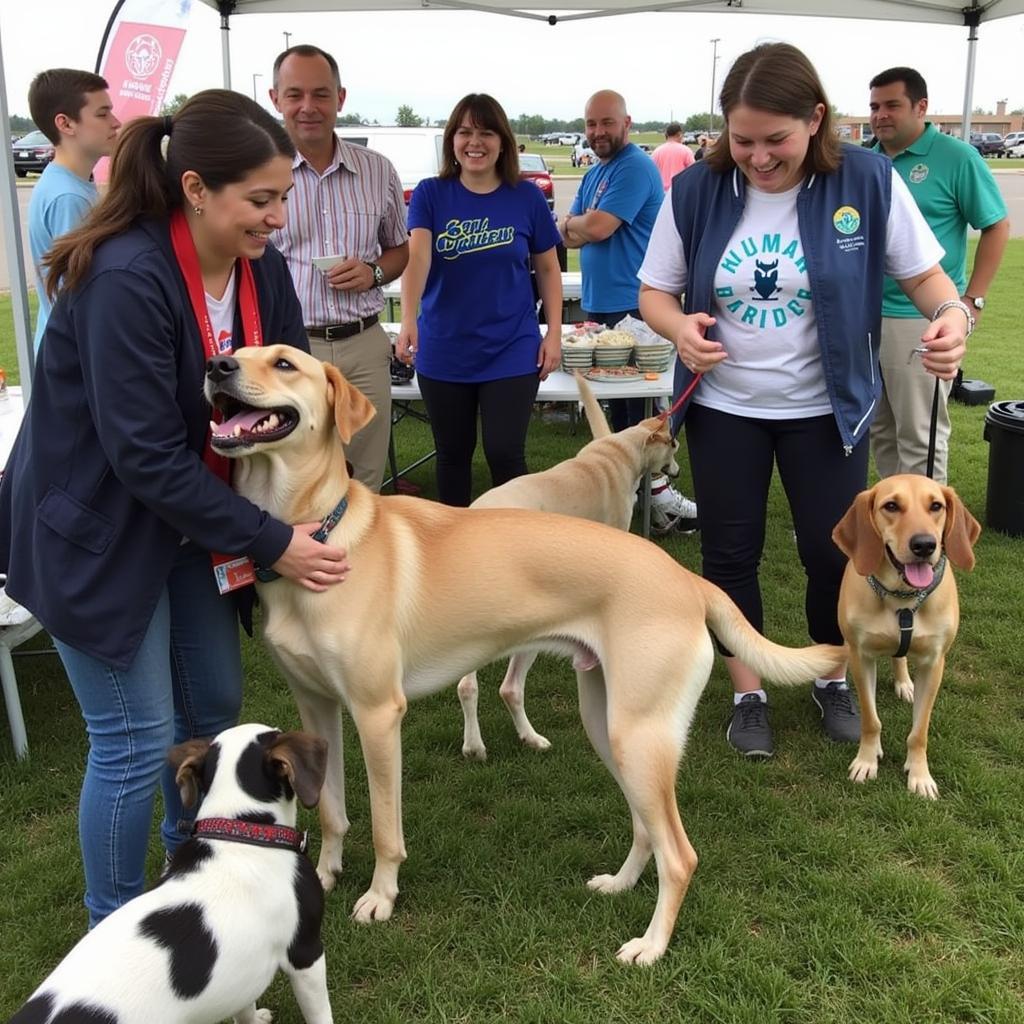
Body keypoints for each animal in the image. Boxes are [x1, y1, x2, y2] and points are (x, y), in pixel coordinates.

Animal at [456, 374, 679, 761]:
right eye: (676, 445)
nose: (677, 471)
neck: (621, 450)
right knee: (508, 687)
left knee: (470, 686)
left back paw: (483, 744)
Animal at [831, 471, 983, 798]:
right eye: (891, 506)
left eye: (936, 506)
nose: (924, 545)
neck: (902, 598)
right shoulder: (861, 657)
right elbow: (870, 720)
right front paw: (866, 760)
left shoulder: (934, 664)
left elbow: (919, 732)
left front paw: (920, 775)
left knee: (899, 657)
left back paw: (904, 683)